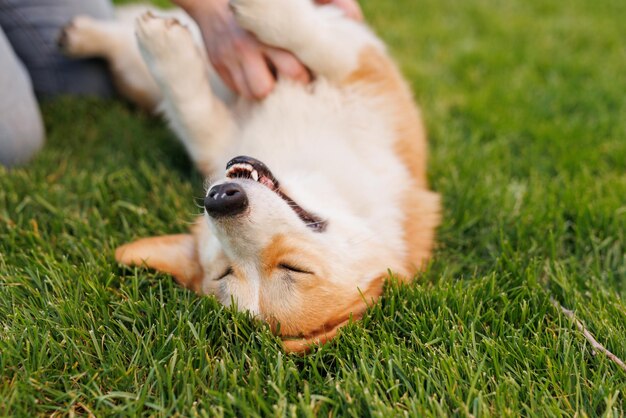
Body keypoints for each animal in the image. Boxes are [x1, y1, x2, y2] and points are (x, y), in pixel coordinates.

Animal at [59, 0, 438, 352]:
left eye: (294, 268)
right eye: (226, 271)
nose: (221, 200)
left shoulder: (363, 69)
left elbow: (321, 45)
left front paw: (259, 10)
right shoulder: (220, 142)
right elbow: (194, 113)